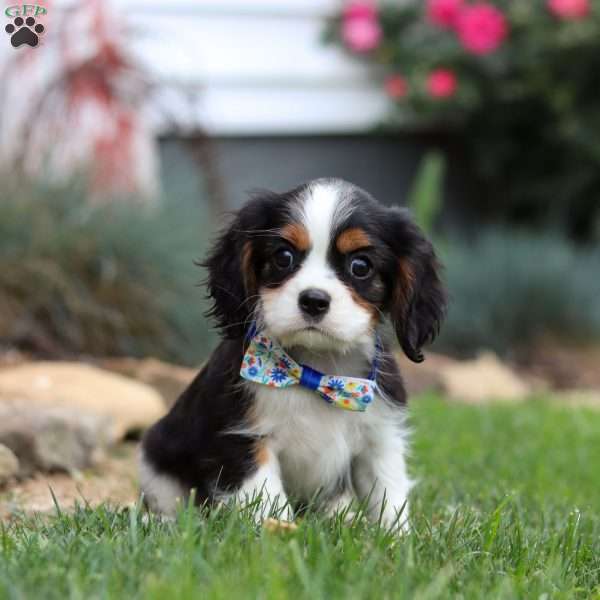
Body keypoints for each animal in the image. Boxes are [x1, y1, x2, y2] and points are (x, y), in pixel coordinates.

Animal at [141, 177, 446, 524]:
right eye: (283, 257)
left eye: (360, 266)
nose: (313, 300)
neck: (318, 371)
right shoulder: (244, 439)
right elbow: (266, 500)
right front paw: (280, 531)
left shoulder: (380, 438)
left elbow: (388, 496)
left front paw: (395, 535)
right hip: (157, 461)